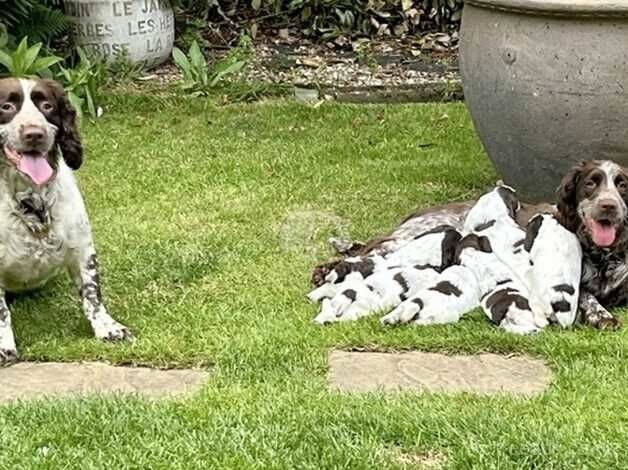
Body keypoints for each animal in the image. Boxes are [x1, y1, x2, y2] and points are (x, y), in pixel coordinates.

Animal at [0, 77, 131, 364]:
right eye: (6, 106)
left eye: (47, 105)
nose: (34, 134)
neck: (33, 202)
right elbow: (1, 312)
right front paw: (4, 346)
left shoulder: (82, 246)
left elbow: (92, 293)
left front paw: (108, 328)